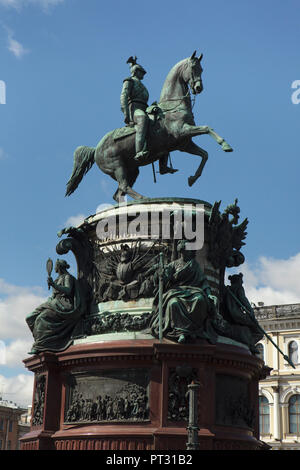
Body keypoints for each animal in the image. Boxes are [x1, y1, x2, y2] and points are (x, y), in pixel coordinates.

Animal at [67, 51, 233, 202]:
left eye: (202, 69)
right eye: (193, 68)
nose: (198, 88)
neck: (172, 107)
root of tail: (96, 149)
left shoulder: (184, 143)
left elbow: (204, 154)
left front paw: (192, 178)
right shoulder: (182, 131)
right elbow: (207, 128)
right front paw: (225, 145)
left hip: (132, 169)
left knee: (119, 193)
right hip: (117, 166)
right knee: (123, 186)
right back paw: (144, 198)